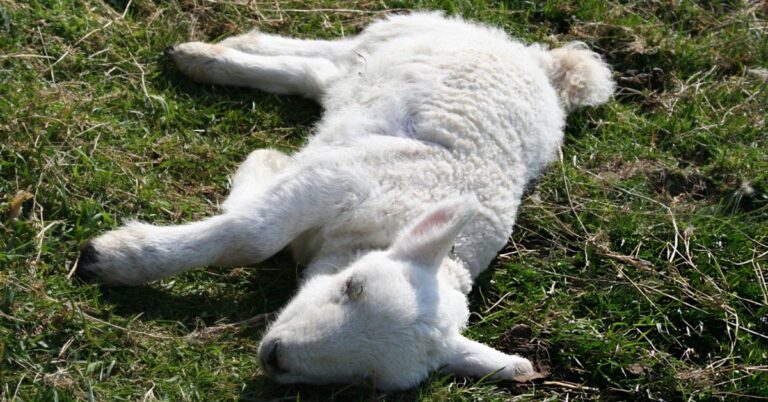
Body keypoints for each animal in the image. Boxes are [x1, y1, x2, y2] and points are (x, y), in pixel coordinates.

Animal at [73, 12, 615, 391]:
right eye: (352, 287)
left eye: (364, 381)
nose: (275, 357)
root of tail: (540, 63)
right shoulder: (339, 177)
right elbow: (252, 236)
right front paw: (116, 258)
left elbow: (253, 220)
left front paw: (260, 165)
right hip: (402, 33)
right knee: (333, 53)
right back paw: (214, 52)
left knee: (316, 73)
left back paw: (223, 56)